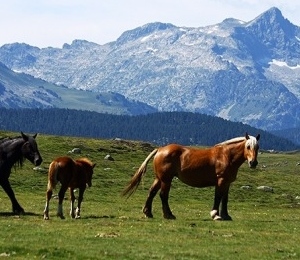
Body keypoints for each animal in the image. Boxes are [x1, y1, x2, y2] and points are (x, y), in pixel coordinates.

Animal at [123, 133, 260, 220]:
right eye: (248, 146)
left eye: (257, 147)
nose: (253, 163)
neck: (226, 156)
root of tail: (160, 149)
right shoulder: (221, 181)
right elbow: (218, 197)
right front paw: (215, 214)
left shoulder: (227, 183)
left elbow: (224, 199)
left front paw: (226, 216)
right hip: (166, 179)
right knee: (163, 195)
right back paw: (169, 215)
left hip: (159, 178)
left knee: (151, 192)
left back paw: (148, 213)